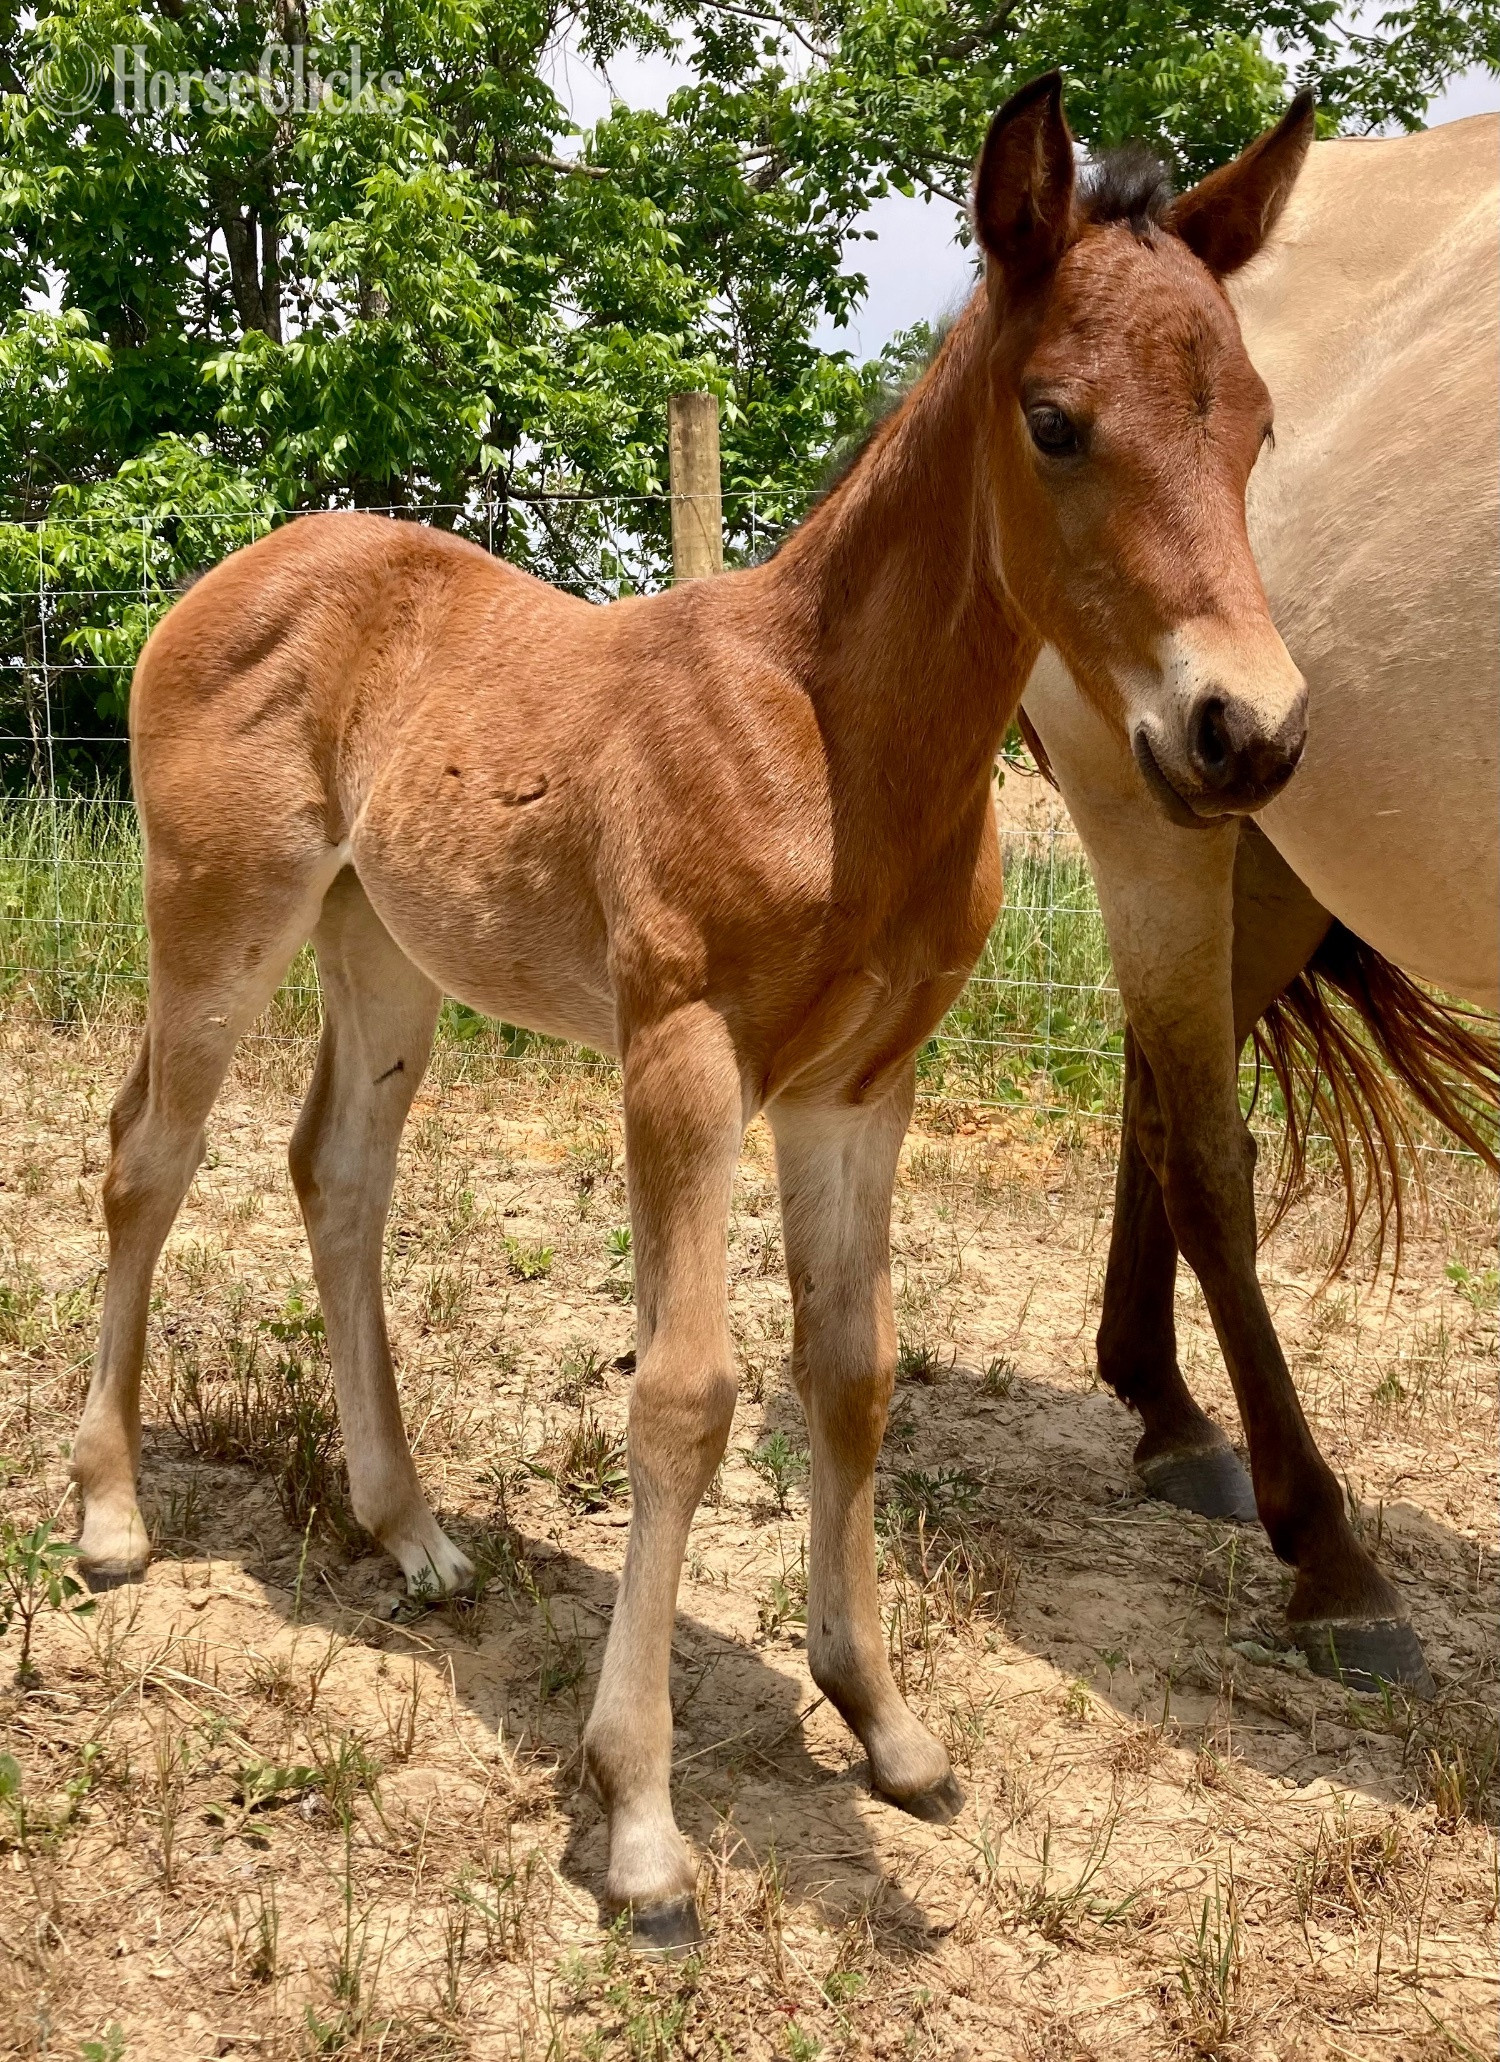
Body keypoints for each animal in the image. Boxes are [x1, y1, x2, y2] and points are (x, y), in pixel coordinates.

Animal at [72, 75, 1316, 1947]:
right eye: (1055, 422)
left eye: (1250, 425)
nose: (1248, 730)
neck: (831, 739)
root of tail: (245, 565)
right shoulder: (682, 1054)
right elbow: (685, 1394)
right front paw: (643, 1819)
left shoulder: (858, 1087)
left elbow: (851, 1375)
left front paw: (884, 1720)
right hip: (219, 912)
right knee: (149, 1157)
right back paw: (110, 1517)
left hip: (384, 944)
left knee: (335, 1173)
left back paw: (410, 1530)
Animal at [1021, 112, 1499, 1699]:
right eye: (1056, 426)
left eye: (1260, 435)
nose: (1252, 723)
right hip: (1155, 822)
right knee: (1205, 1158)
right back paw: (1328, 1554)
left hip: (1256, 852)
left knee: (1161, 1106)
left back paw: (1168, 1413)